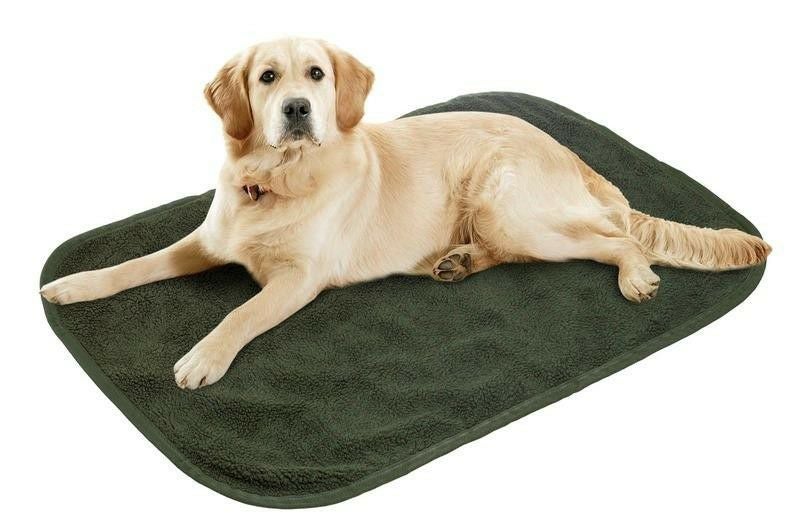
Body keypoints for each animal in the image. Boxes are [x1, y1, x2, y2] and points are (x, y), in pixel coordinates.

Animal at [40, 37, 771, 389]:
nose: (298, 110)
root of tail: (567, 149)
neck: (275, 181)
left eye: (316, 75)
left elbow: (238, 314)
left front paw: (202, 359)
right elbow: (136, 264)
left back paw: (634, 276)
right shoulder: (208, 239)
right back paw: (457, 261)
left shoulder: (298, 280)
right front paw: (72, 285)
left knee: (616, 238)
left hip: (512, 210)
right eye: (267, 78)